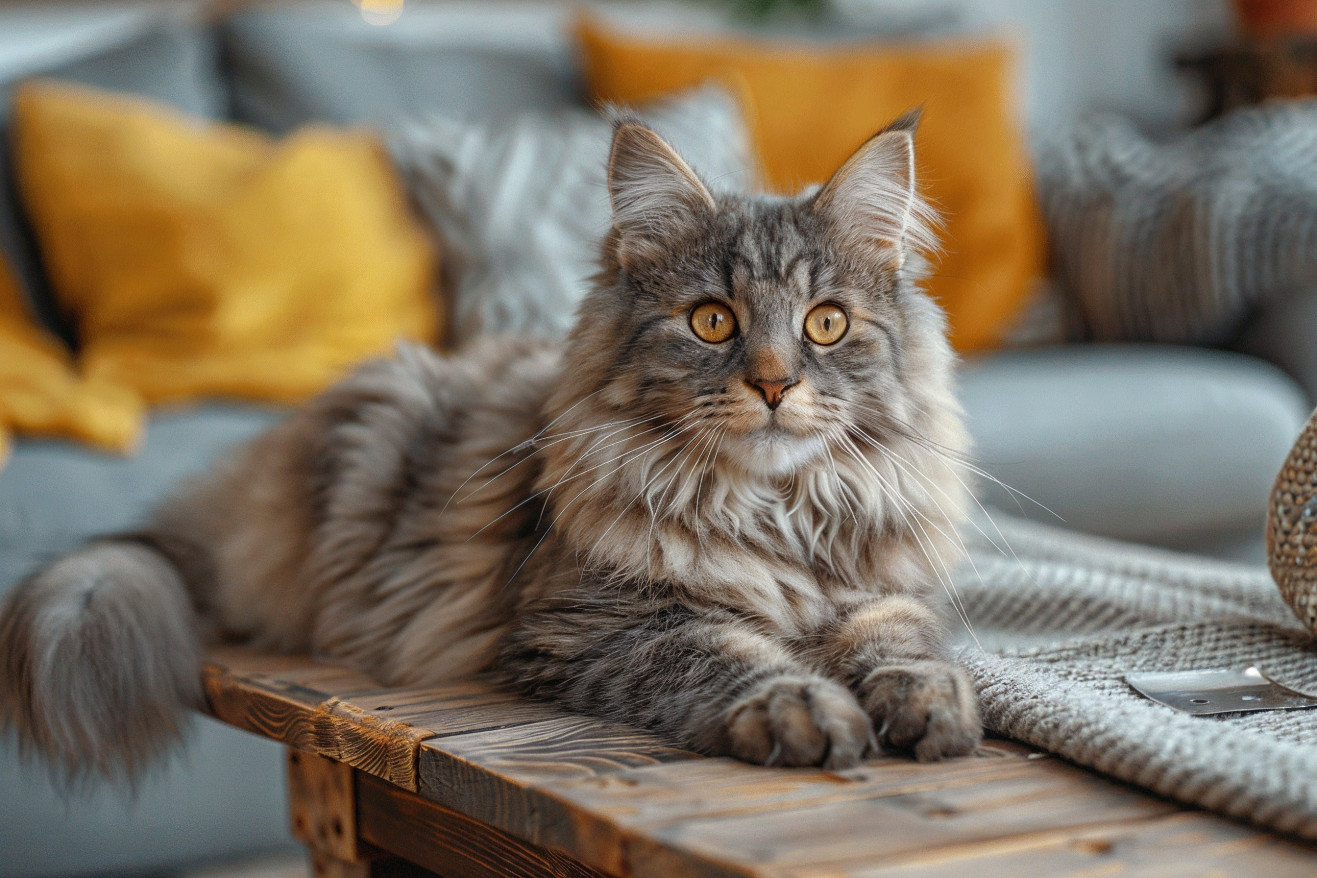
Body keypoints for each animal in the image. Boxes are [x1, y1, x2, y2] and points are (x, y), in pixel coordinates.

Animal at [0, 111, 979, 784]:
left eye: (825, 324)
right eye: (711, 321)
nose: (774, 385)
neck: (774, 514)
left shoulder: (880, 592)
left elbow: (904, 644)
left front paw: (930, 706)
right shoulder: (594, 622)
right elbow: (728, 656)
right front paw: (802, 708)